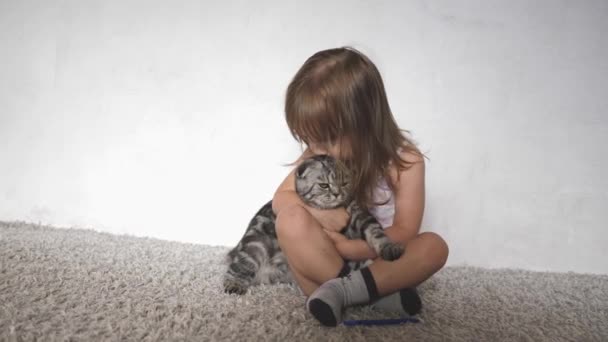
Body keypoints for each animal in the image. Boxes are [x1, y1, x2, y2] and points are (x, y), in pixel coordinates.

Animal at [223, 154, 404, 294]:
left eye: (344, 183)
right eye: (324, 185)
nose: (337, 194)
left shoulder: (360, 215)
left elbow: (376, 232)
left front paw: (390, 248)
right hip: (256, 246)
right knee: (238, 267)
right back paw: (234, 285)